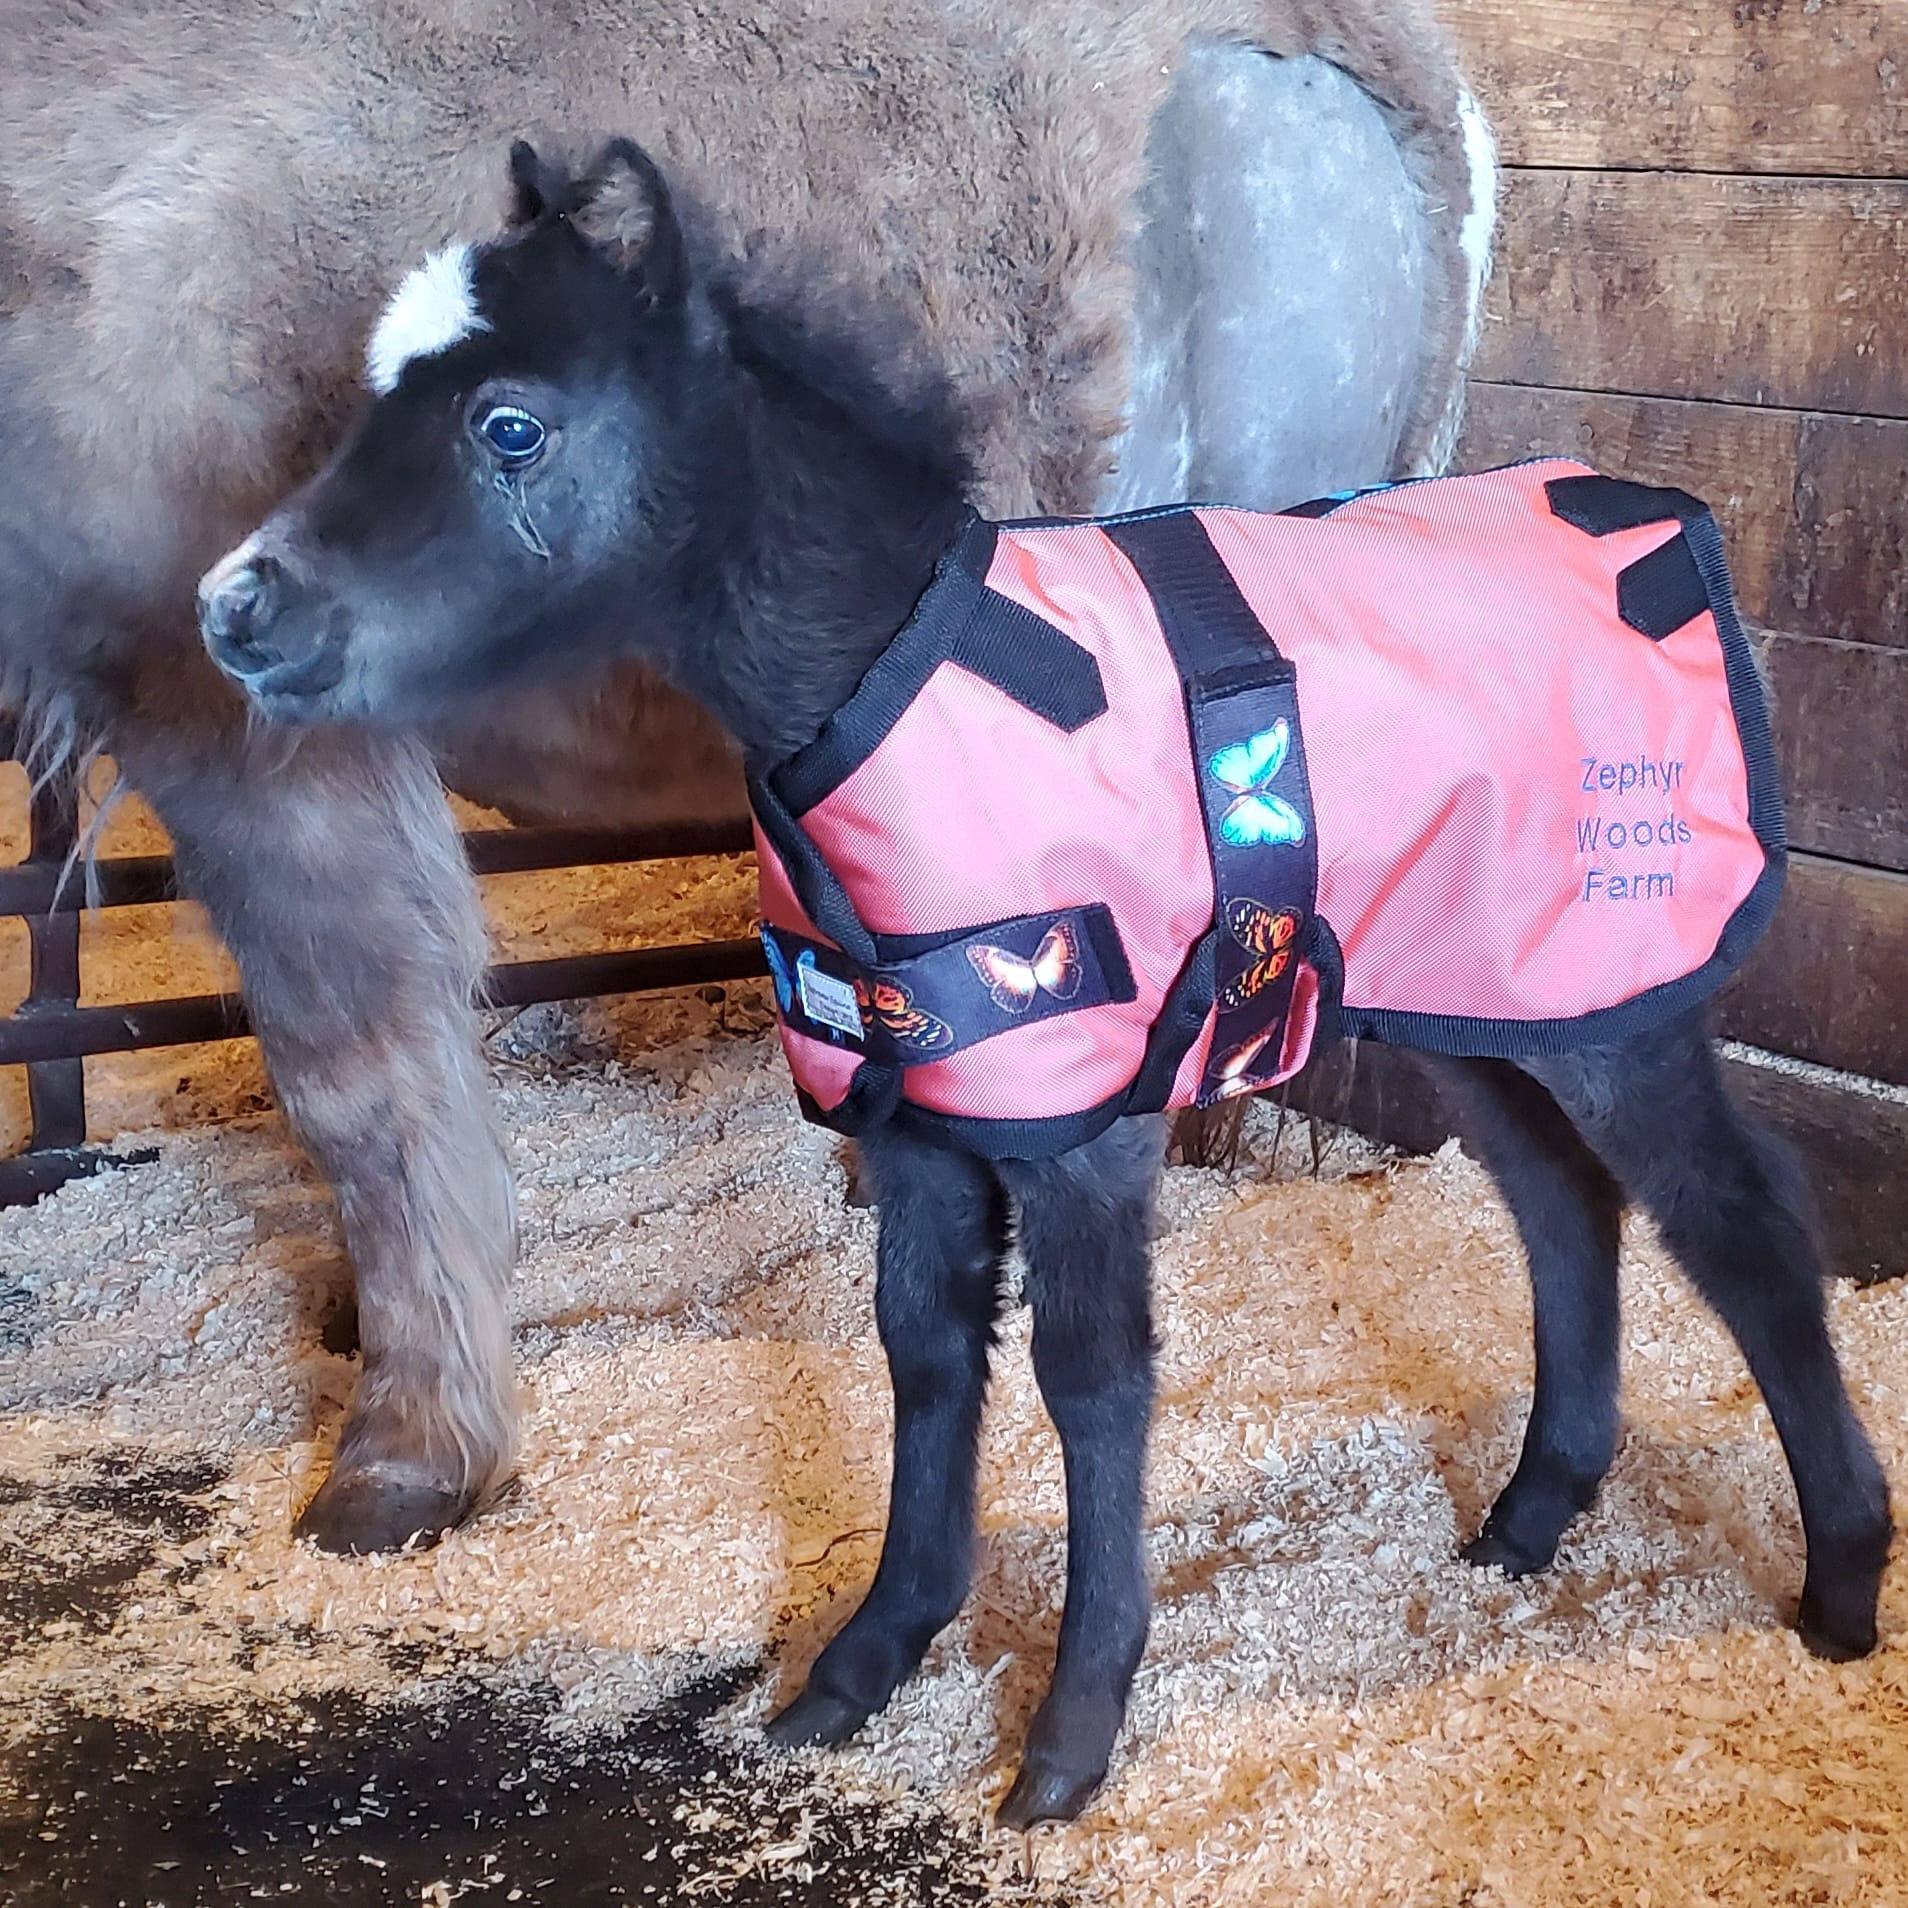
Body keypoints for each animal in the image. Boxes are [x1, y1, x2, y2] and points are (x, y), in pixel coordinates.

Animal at [195, 137, 1891, 1828]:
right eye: (364, 400)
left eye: (512, 425)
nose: (233, 608)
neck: (885, 685)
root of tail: (1651, 515)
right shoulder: (914, 1114)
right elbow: (926, 1353)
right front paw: (863, 1667)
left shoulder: (1085, 1114)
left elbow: (1091, 1377)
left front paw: (1071, 1738)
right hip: (1473, 984)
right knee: (1559, 1198)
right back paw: (1533, 1518)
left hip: (1620, 988)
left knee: (1735, 1218)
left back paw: (1843, 1577)